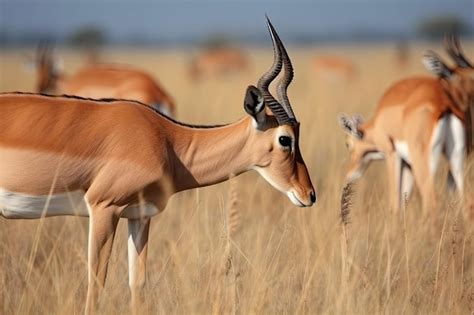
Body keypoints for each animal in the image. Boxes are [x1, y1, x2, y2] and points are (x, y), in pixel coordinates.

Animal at [338, 34, 472, 217]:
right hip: (456, 158)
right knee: (467, 200)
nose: (350, 174)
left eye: (348, 143)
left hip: (423, 160)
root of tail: (444, 102)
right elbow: (403, 201)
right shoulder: (407, 164)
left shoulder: (392, 154)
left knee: (431, 201)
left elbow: (395, 203)